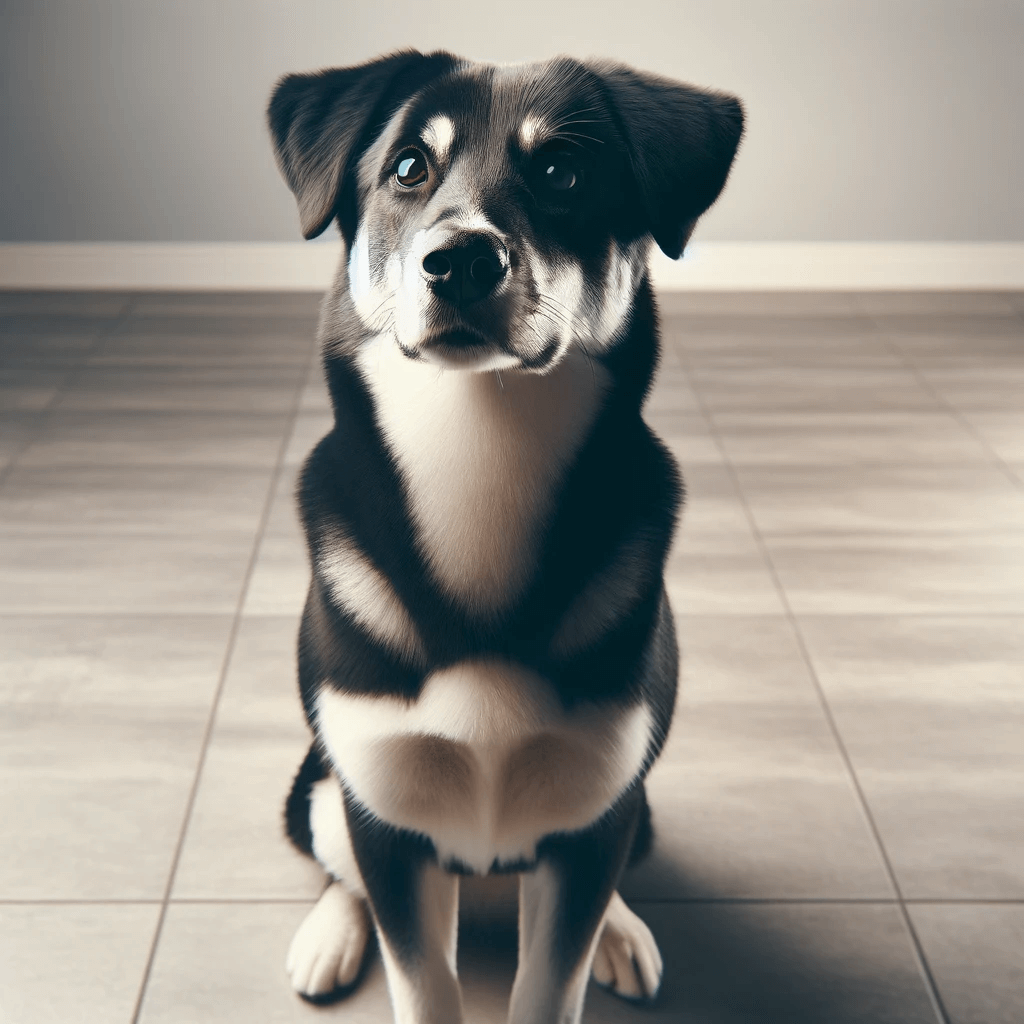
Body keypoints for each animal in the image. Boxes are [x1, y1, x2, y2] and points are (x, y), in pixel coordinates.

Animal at [268, 49, 741, 1024]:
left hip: (630, 803)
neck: (477, 447)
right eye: (409, 167)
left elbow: (552, 974)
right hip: (320, 784)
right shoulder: (385, 812)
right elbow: (421, 976)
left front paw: (601, 940)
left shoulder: (596, 805)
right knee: (339, 864)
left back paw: (624, 931)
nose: (459, 262)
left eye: (562, 173)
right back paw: (330, 933)